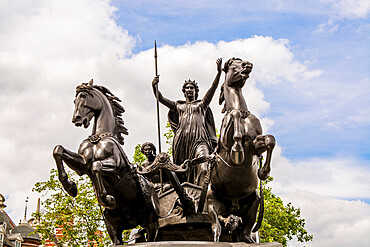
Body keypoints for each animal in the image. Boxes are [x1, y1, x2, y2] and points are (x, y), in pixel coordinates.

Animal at [53, 79, 159, 245]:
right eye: (74, 100)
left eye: (84, 96)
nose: (76, 119)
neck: (99, 138)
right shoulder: (82, 165)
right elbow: (58, 150)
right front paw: (70, 187)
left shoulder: (115, 168)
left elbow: (96, 166)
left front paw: (107, 199)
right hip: (113, 225)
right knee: (117, 240)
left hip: (151, 221)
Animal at [208, 58, 274, 243]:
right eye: (232, 64)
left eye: (241, 61)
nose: (248, 65)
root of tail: (232, 206)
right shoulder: (225, 142)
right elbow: (234, 118)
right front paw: (237, 150)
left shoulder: (256, 144)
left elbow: (270, 140)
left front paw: (263, 171)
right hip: (212, 202)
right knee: (216, 224)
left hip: (254, 202)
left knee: (245, 229)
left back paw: (248, 239)